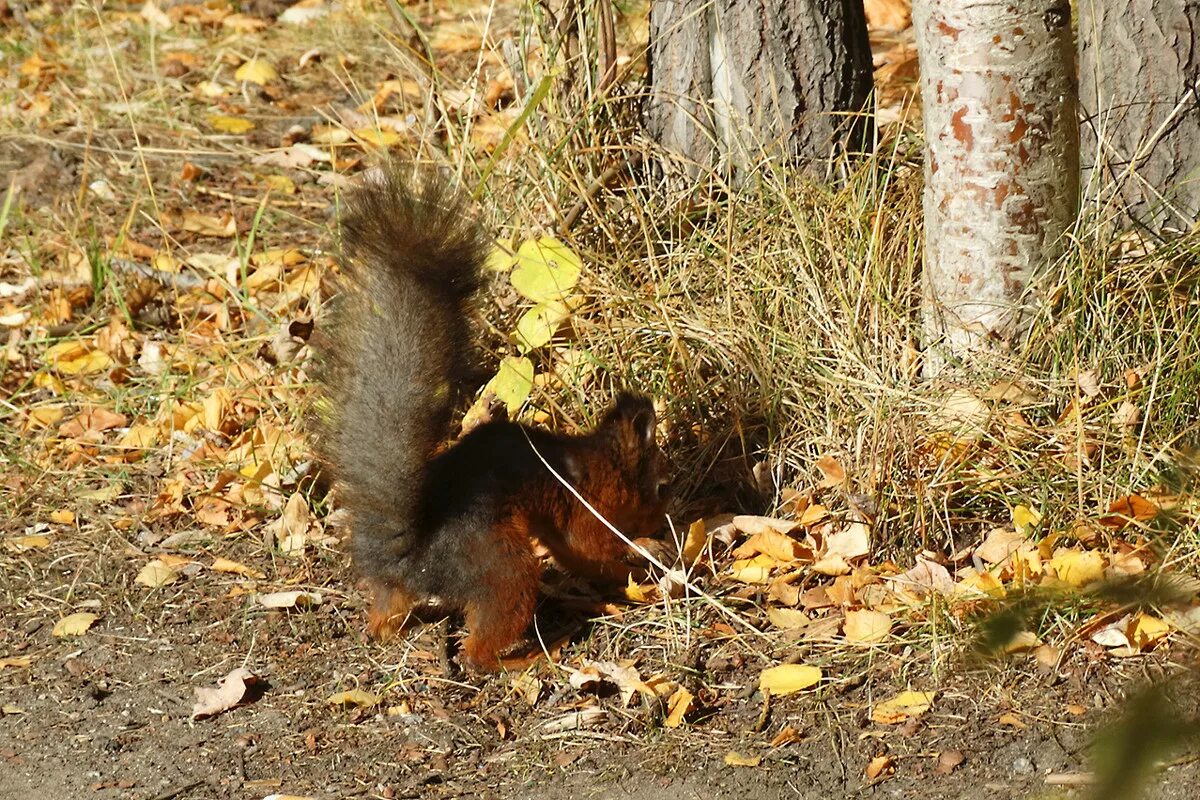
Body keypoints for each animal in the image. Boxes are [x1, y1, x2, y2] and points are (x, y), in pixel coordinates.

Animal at [314, 165, 672, 671]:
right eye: (661, 486)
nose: (663, 522)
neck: (603, 461)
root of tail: (412, 561)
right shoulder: (587, 508)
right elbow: (592, 547)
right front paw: (643, 554)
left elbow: (577, 555)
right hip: (503, 566)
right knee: (477, 651)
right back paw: (530, 656)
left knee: (387, 619)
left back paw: (386, 626)